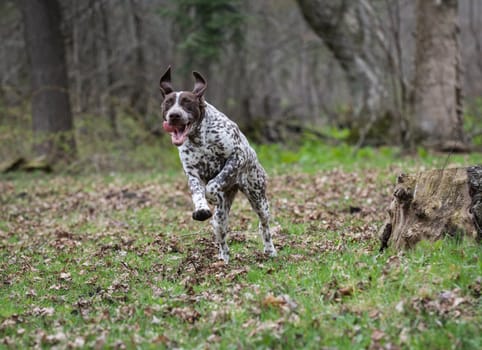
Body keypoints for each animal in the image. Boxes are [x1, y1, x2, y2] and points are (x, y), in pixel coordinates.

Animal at [160, 66, 276, 262]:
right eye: (168, 103)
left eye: (187, 102)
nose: (174, 115)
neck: (200, 138)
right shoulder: (192, 173)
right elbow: (198, 192)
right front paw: (201, 208)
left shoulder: (237, 157)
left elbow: (214, 183)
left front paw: (212, 194)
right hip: (221, 220)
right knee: (222, 235)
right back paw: (224, 259)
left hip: (258, 197)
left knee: (264, 224)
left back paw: (270, 250)